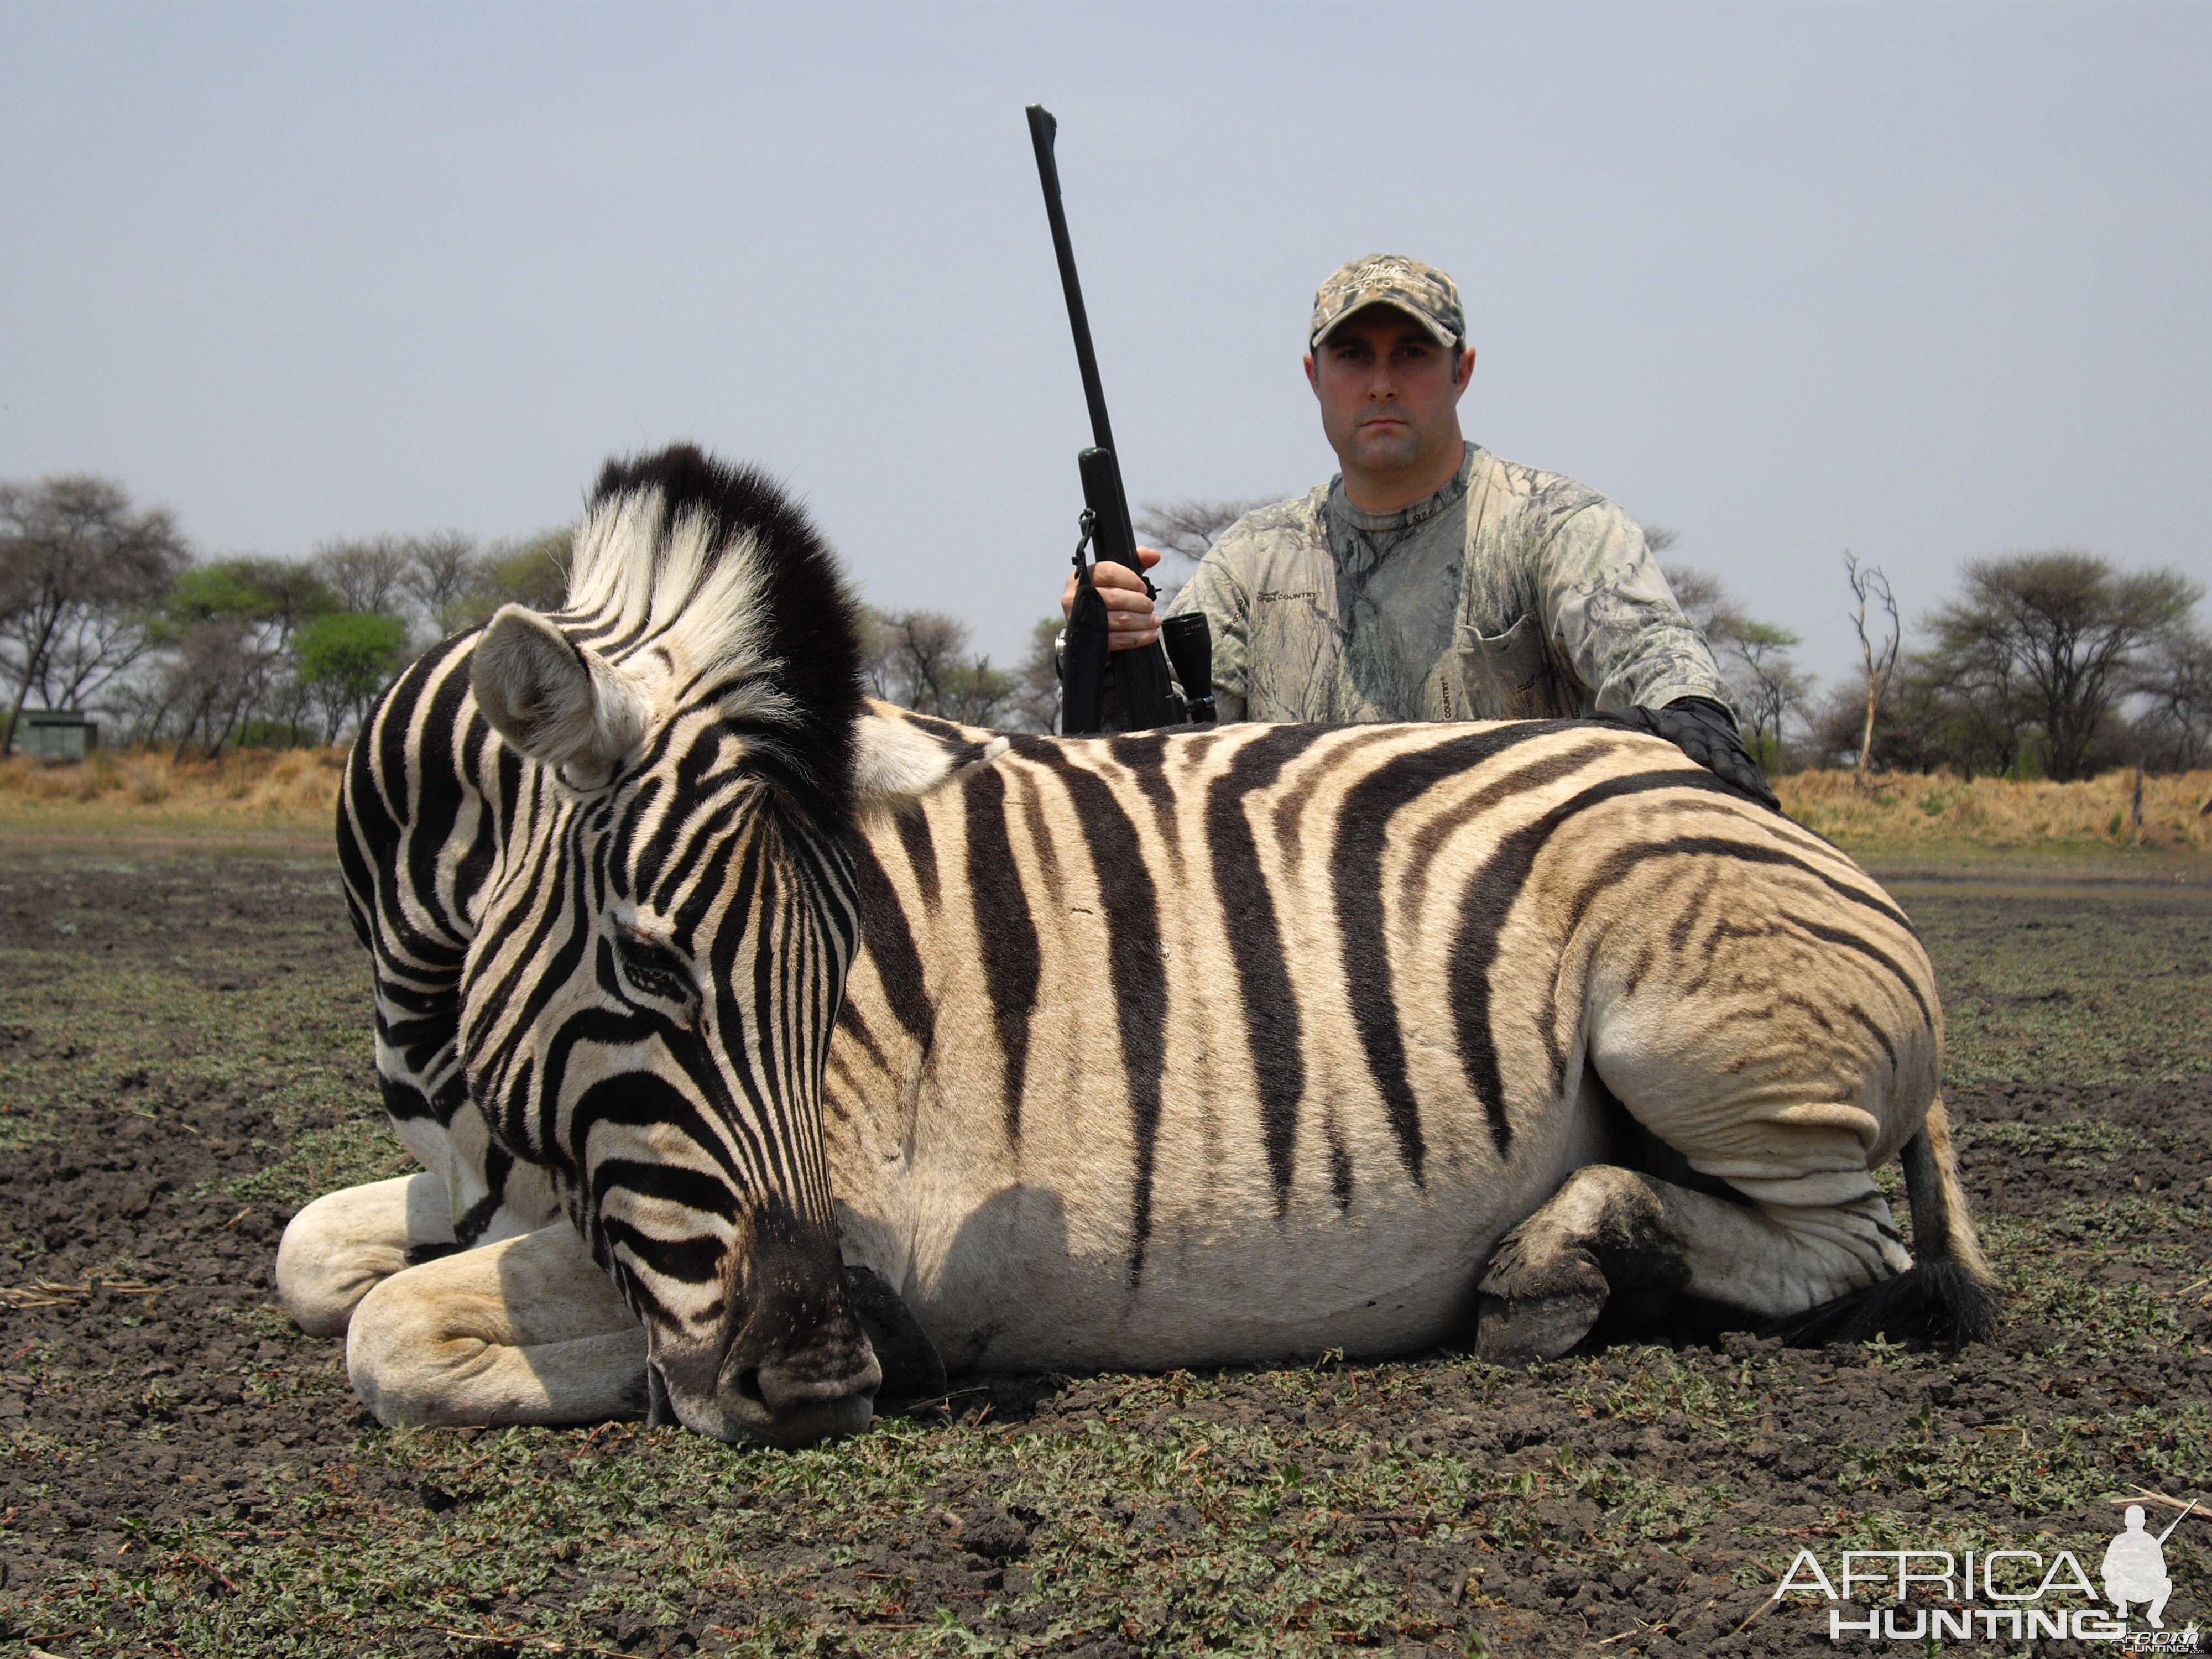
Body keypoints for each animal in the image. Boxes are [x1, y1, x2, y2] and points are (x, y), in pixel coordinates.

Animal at [272, 442, 1991, 1442]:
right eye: (646, 966)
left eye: (838, 990)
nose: (828, 1376)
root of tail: (1731, 795)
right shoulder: (494, 1182)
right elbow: (316, 1256)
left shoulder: (821, 1210)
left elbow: (389, 1334)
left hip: (1696, 1041)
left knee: (1847, 1254)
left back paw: (1558, 1266)